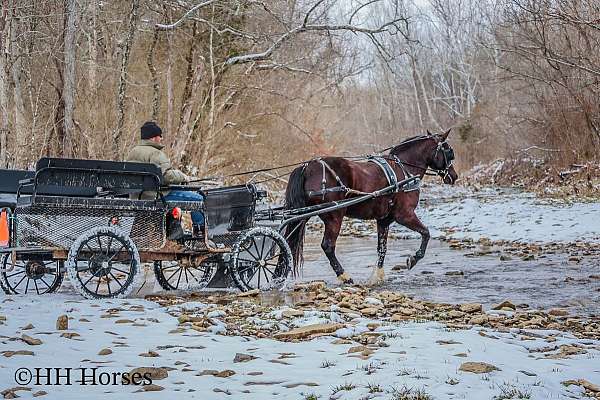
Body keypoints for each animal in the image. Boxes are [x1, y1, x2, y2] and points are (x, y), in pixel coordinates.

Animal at [284, 129, 458, 284]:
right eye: (449, 152)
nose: (454, 176)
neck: (404, 170)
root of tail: (307, 167)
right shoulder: (405, 215)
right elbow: (426, 233)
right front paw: (413, 259)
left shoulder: (384, 220)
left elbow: (382, 248)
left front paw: (377, 276)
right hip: (334, 217)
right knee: (328, 246)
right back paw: (344, 276)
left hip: (303, 216)